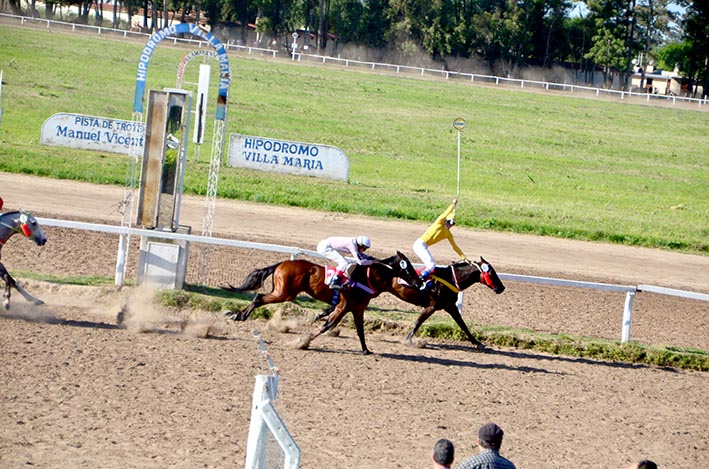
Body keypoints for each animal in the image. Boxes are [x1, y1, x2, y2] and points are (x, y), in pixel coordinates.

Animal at [221, 250, 420, 352]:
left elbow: (360, 331)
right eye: (407, 266)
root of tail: (281, 264)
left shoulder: (357, 309)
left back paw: (237, 315)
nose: (420, 282)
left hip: (282, 292)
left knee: (259, 298)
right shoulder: (342, 306)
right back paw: (240, 316)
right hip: (284, 293)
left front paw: (366, 350)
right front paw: (303, 342)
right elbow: (327, 326)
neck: (367, 278)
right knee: (259, 298)